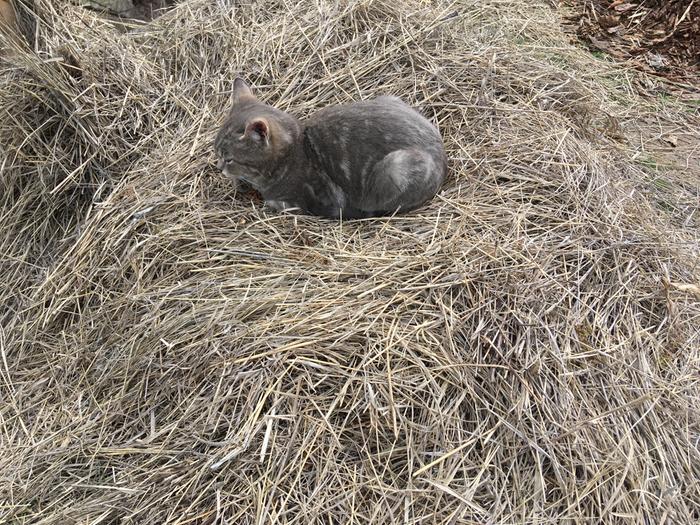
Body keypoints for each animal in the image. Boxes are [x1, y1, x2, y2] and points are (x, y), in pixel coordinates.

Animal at [212, 77, 448, 217]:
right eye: (217, 152)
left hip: (396, 167)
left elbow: (280, 203)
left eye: (229, 158)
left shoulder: (323, 201)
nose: (219, 167)